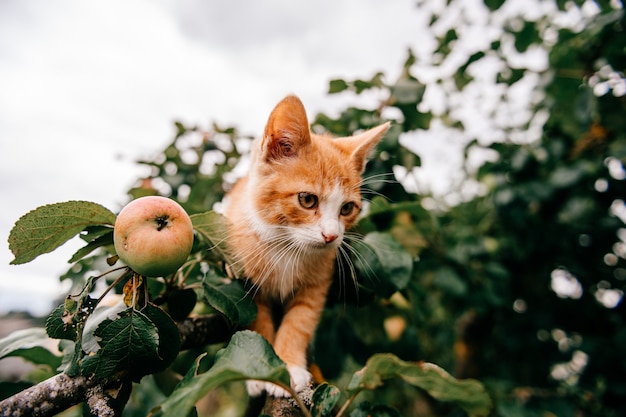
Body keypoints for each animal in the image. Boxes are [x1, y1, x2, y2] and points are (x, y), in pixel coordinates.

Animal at [224, 94, 388, 396]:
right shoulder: (245, 279)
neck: (286, 246)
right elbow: (257, 320)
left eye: (347, 208)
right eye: (308, 200)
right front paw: (262, 371)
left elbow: (300, 321)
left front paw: (290, 366)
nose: (331, 236)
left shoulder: (316, 285)